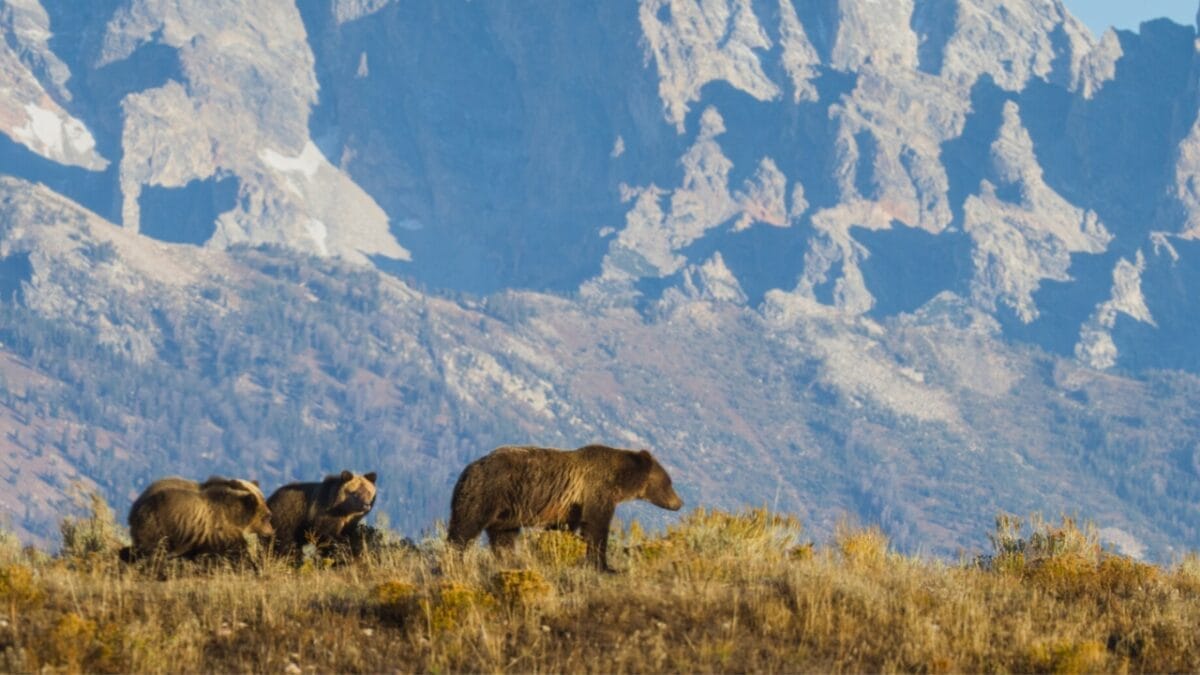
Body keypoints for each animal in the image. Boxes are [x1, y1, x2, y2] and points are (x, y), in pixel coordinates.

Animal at [123, 479, 275, 563]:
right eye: (267, 516)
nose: (271, 531)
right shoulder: (219, 530)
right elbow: (235, 551)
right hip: (158, 525)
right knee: (152, 548)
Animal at [447, 444, 683, 571]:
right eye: (669, 482)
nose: (679, 503)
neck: (619, 479)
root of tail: (467, 470)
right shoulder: (596, 490)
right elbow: (596, 527)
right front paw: (604, 566)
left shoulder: (570, 506)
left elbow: (562, 529)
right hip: (487, 493)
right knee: (465, 527)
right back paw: (453, 560)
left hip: (508, 511)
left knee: (503, 538)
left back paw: (510, 561)